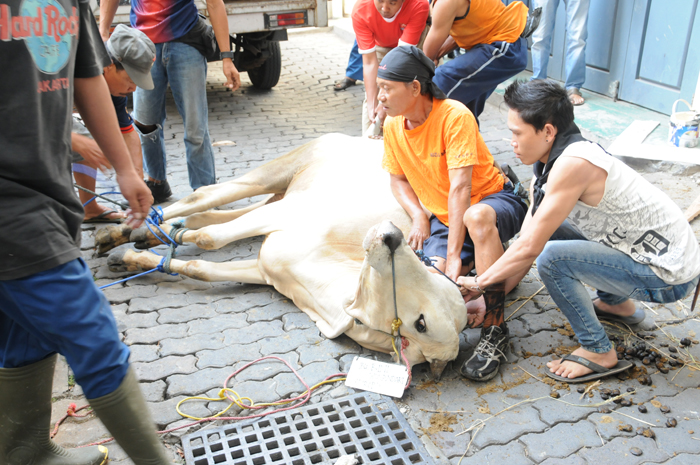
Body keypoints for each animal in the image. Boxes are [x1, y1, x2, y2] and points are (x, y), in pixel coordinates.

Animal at [98, 132, 470, 376]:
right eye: (429, 269)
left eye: (421, 324)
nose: (391, 235)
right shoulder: (291, 213)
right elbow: (209, 239)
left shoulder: (265, 269)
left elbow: (199, 263)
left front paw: (132, 259)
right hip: (280, 174)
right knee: (203, 197)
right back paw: (128, 226)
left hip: (279, 193)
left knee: (203, 215)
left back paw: (136, 234)